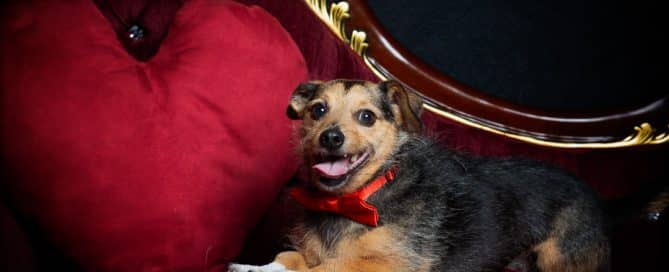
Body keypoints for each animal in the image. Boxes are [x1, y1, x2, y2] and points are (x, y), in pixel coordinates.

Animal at [231, 79, 612, 270]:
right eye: (318, 110)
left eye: (367, 117)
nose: (331, 137)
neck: (357, 198)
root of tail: (599, 201)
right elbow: (290, 259)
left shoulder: (389, 266)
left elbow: (325, 269)